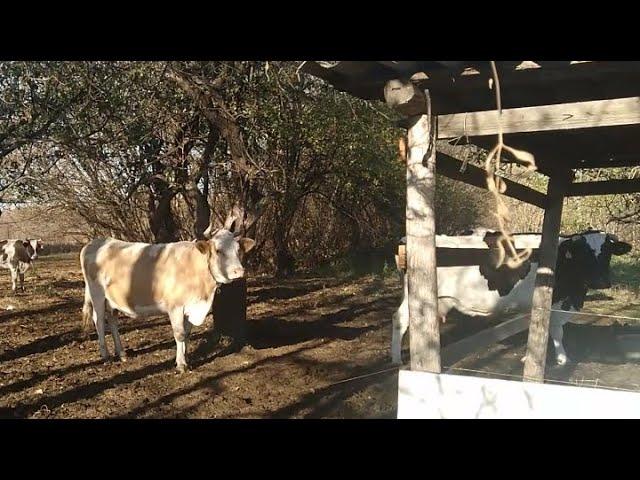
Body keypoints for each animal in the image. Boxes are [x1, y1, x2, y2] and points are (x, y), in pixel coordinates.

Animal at [81, 219, 256, 374]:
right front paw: (181, 364)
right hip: (97, 294)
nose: (239, 272)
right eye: (219, 250)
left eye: (238, 250)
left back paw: (122, 354)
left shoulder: (190, 308)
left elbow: (187, 334)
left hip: (113, 300)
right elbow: (179, 334)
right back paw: (106, 356)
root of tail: (97, 242)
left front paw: (186, 358)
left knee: (112, 320)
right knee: (99, 321)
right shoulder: (175, 307)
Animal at [392, 229, 632, 364]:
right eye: (583, 253)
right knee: (400, 320)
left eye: (608, 252)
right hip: (414, 294)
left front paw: (554, 356)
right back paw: (396, 359)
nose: (601, 282)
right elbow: (552, 329)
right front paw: (553, 358)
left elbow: (549, 330)